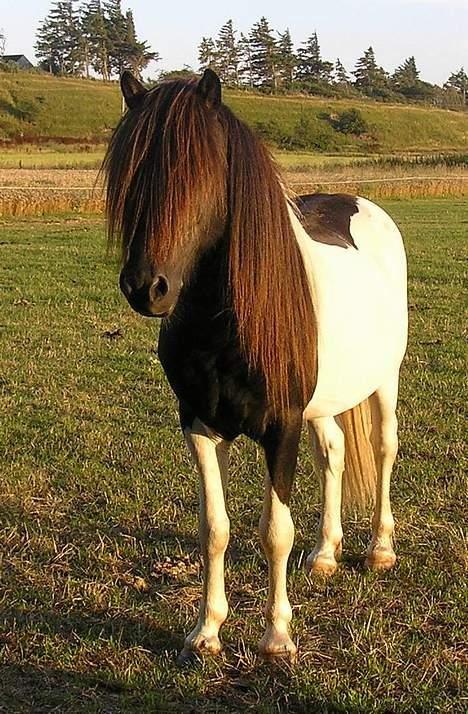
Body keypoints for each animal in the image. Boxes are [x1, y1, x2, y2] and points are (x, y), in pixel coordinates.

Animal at [102, 69, 406, 660]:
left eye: (198, 172)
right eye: (129, 172)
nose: (147, 288)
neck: (224, 324)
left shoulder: (280, 428)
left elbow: (275, 531)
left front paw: (277, 636)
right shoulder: (199, 424)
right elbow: (214, 528)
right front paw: (206, 631)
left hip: (384, 380)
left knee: (383, 447)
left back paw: (380, 550)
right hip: (323, 404)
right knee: (333, 452)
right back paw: (327, 553)